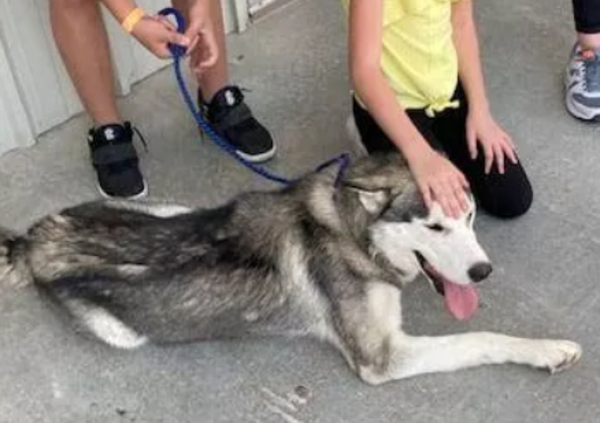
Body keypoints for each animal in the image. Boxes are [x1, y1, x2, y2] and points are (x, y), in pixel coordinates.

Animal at [0, 155, 580, 384]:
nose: (483, 271)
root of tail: (36, 237)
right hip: (122, 332)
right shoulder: (381, 357)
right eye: (435, 227)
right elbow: (482, 337)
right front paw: (549, 350)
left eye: (469, 217)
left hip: (170, 208)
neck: (350, 232)